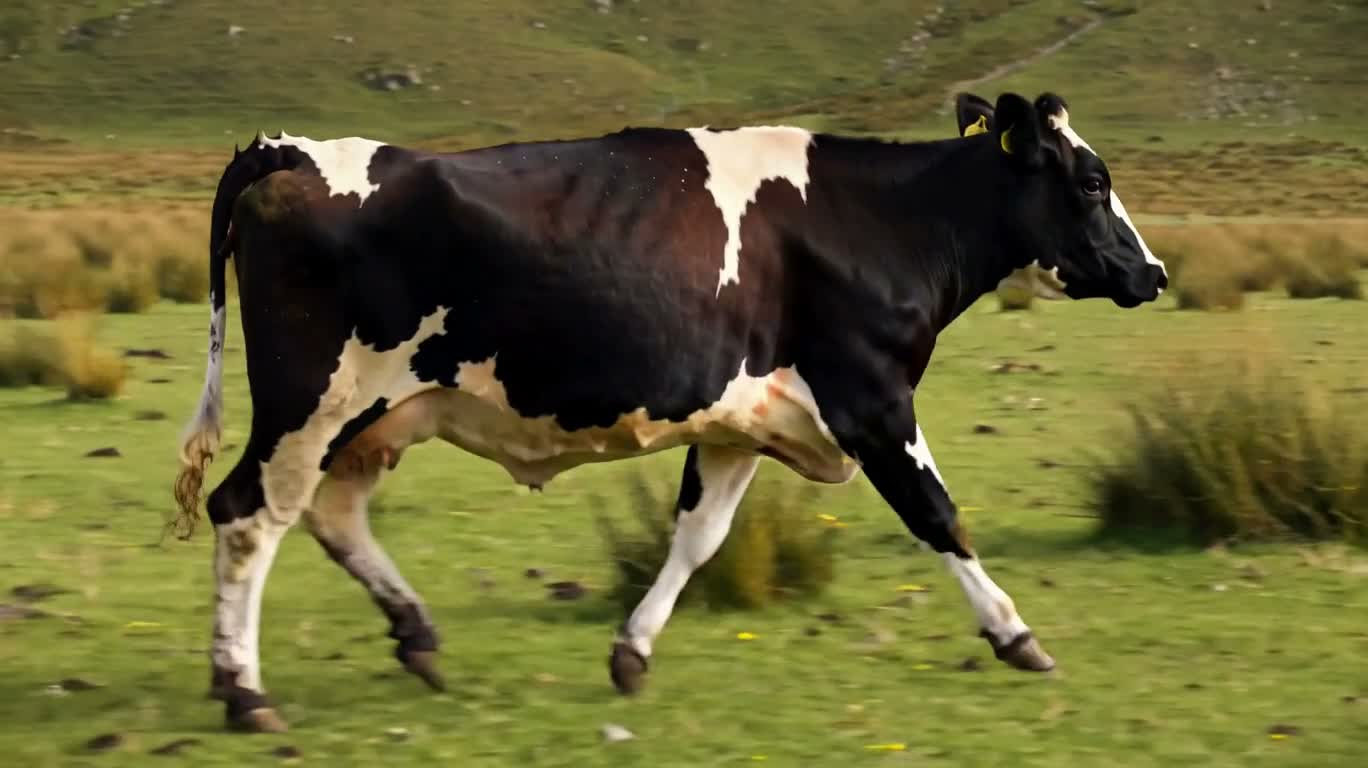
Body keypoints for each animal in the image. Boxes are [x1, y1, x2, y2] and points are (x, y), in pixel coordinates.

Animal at [173, 90, 1167, 733]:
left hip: (375, 416)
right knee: (248, 516)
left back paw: (413, 635)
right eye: (1090, 181)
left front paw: (632, 651)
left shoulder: (743, 422)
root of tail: (289, 148)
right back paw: (243, 691)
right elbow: (940, 515)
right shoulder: (872, 401)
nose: (1153, 272)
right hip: (311, 405)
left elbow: (697, 538)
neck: (886, 222)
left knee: (331, 516)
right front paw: (1015, 634)